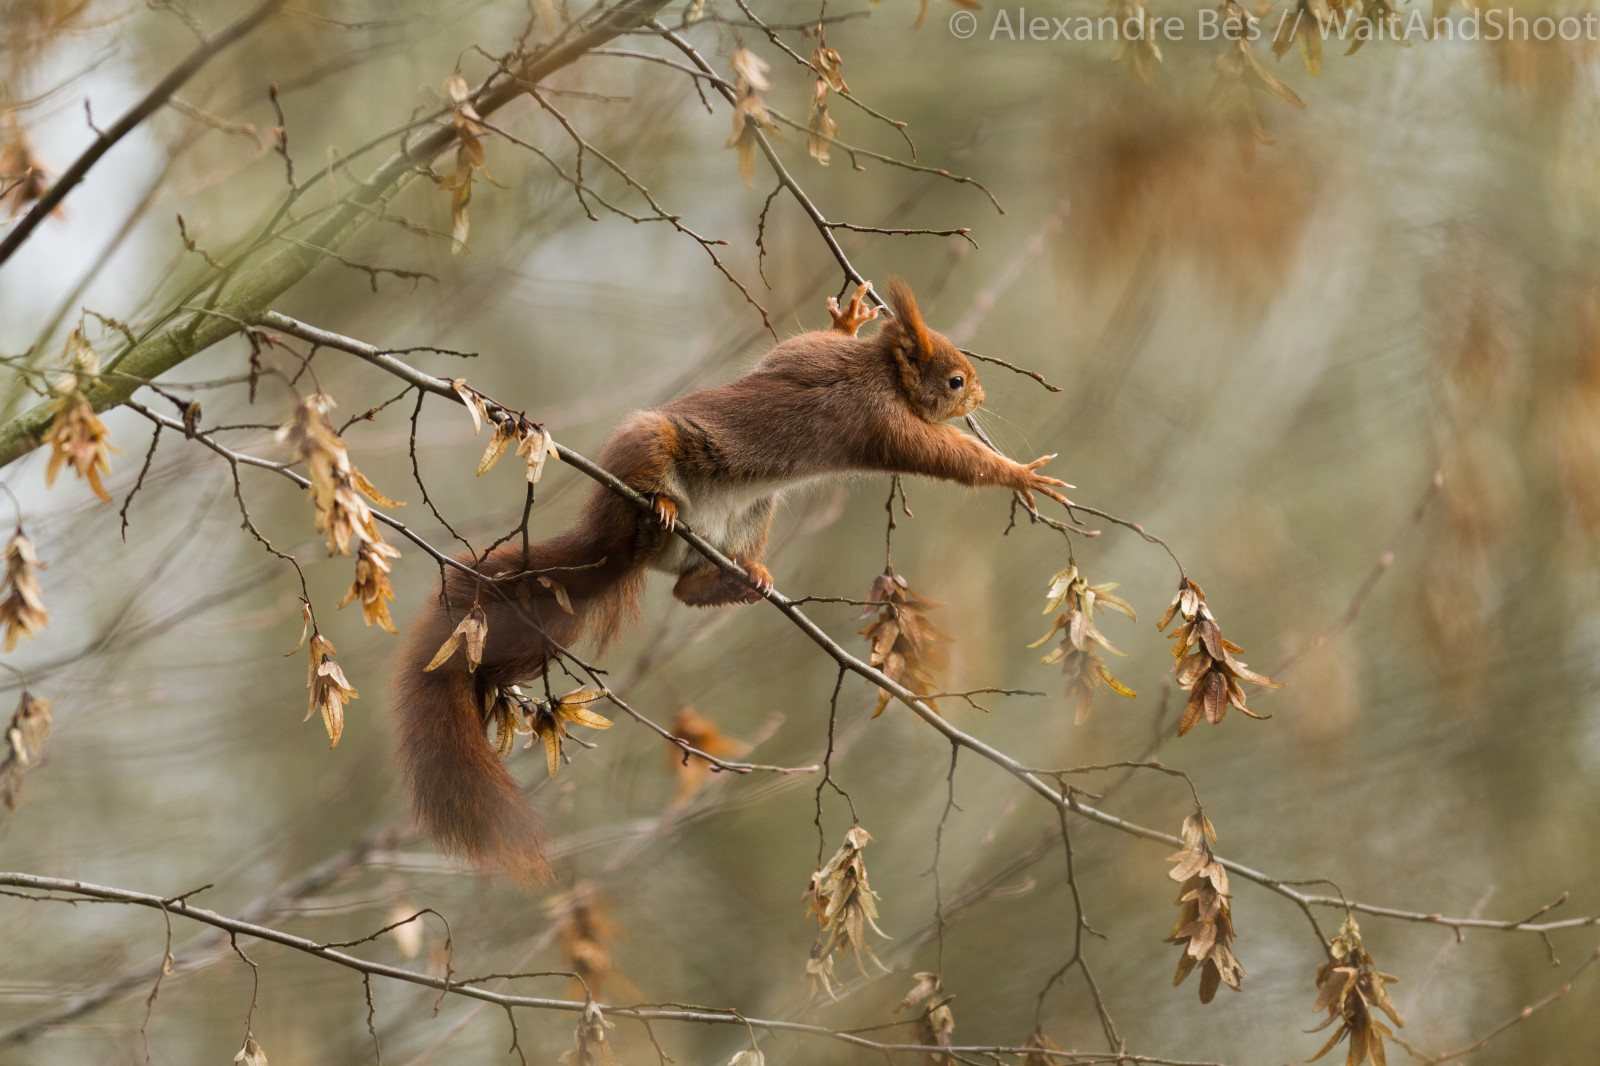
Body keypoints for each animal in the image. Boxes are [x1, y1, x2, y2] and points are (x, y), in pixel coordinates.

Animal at [395, 280, 1069, 881]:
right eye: (954, 380)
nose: (979, 397)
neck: (880, 372)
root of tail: (613, 546)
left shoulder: (807, 359)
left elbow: (799, 346)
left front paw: (849, 319)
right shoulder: (878, 421)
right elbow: (944, 457)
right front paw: (1018, 474)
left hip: (752, 517)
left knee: (683, 590)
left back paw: (741, 580)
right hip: (651, 448)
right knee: (644, 509)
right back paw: (659, 510)